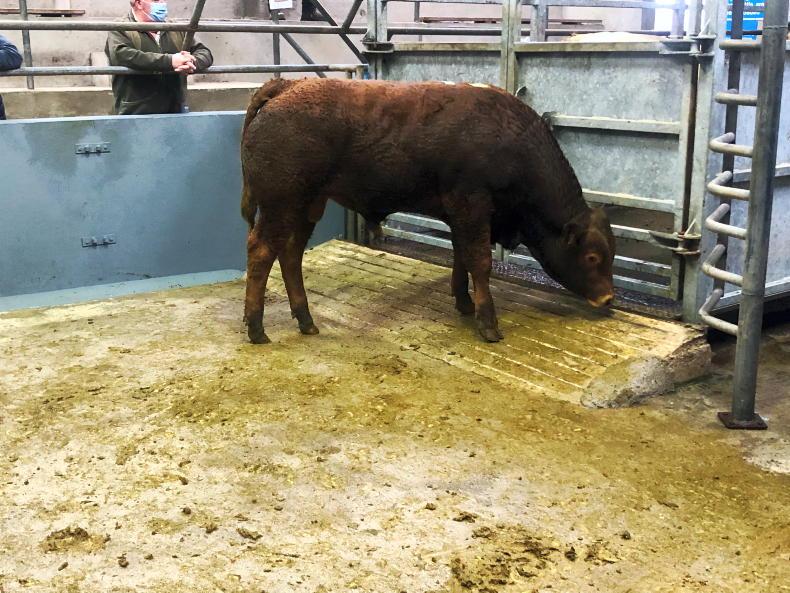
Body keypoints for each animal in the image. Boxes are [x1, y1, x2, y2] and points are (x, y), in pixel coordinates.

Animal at [240, 78, 615, 345]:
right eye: (592, 257)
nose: (608, 298)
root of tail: (288, 84)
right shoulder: (472, 207)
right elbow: (480, 261)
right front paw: (488, 323)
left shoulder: (462, 217)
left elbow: (461, 257)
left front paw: (464, 303)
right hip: (280, 205)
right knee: (261, 251)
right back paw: (257, 327)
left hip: (306, 207)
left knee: (290, 255)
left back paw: (305, 320)